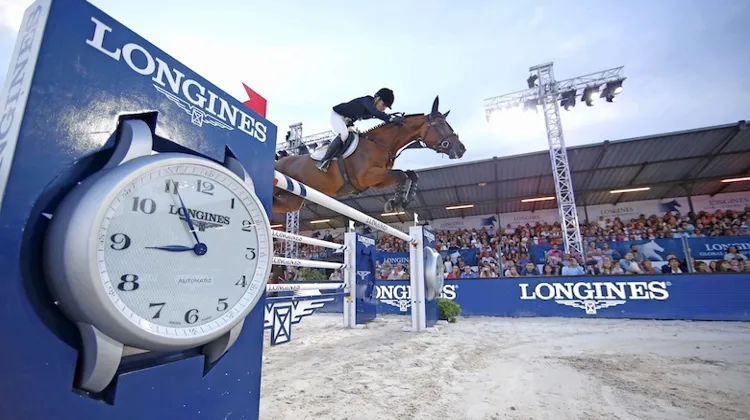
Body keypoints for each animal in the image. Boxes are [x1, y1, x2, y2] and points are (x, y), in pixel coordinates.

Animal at [272, 96, 465, 215]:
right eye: (440, 125)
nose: (461, 149)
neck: (380, 143)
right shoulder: (367, 176)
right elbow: (402, 175)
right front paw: (396, 203)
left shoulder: (377, 180)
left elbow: (410, 174)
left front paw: (405, 199)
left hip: (292, 200)